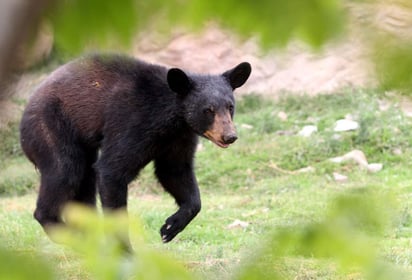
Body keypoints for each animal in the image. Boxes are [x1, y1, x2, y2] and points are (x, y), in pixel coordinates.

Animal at [20, 54, 251, 243]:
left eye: (230, 106)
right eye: (208, 110)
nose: (230, 136)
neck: (174, 119)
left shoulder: (179, 139)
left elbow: (174, 171)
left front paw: (170, 227)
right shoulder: (133, 122)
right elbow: (112, 170)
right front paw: (124, 251)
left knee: (85, 183)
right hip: (51, 128)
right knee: (64, 171)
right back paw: (67, 233)